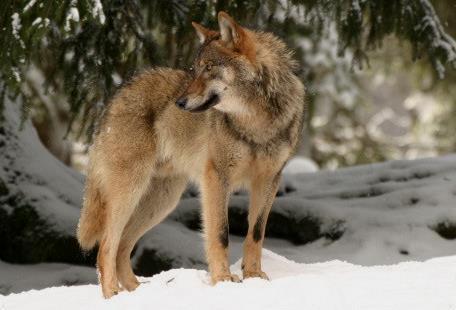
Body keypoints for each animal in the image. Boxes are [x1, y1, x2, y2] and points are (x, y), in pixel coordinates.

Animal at [77, 11, 306, 298]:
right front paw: (222, 280)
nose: (179, 103)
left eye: (209, 68)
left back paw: (139, 293)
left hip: (161, 202)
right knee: (106, 246)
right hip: (131, 193)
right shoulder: (216, 178)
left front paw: (254, 277)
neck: (255, 123)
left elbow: (255, 234)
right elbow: (220, 234)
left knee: (121, 247)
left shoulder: (269, 180)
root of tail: (116, 96)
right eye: (195, 69)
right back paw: (113, 295)